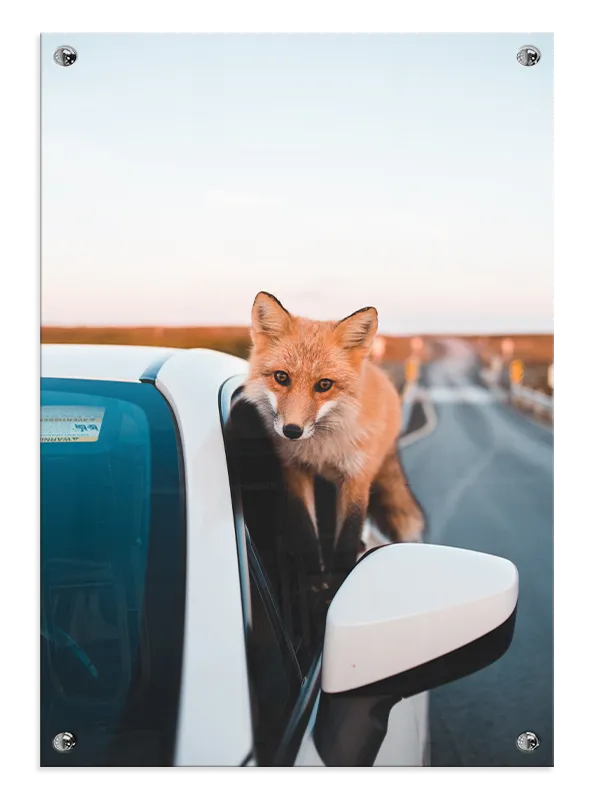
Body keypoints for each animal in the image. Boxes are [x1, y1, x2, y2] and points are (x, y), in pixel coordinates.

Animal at [241, 291, 426, 590]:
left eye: (324, 385)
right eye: (281, 377)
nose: (292, 431)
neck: (322, 450)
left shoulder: (357, 477)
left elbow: (348, 536)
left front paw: (339, 584)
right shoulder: (295, 470)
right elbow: (306, 531)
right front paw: (315, 582)